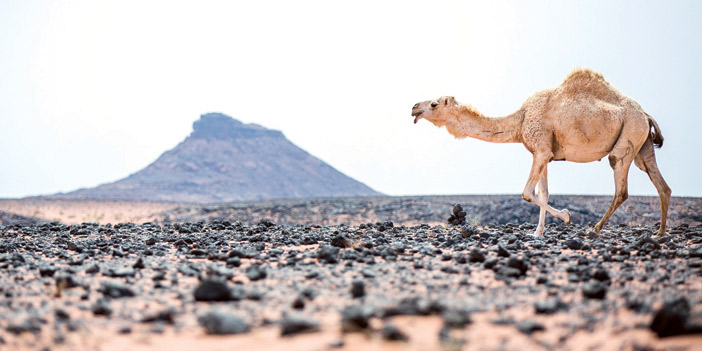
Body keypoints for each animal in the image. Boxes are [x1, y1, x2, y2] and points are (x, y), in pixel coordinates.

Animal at [412, 68, 676, 239]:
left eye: (434, 104)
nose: (414, 107)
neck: (520, 120)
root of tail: (646, 115)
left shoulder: (540, 149)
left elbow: (527, 192)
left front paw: (567, 217)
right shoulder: (544, 153)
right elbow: (544, 192)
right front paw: (538, 232)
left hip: (627, 138)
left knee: (621, 188)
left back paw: (594, 229)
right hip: (643, 146)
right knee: (662, 185)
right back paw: (659, 233)